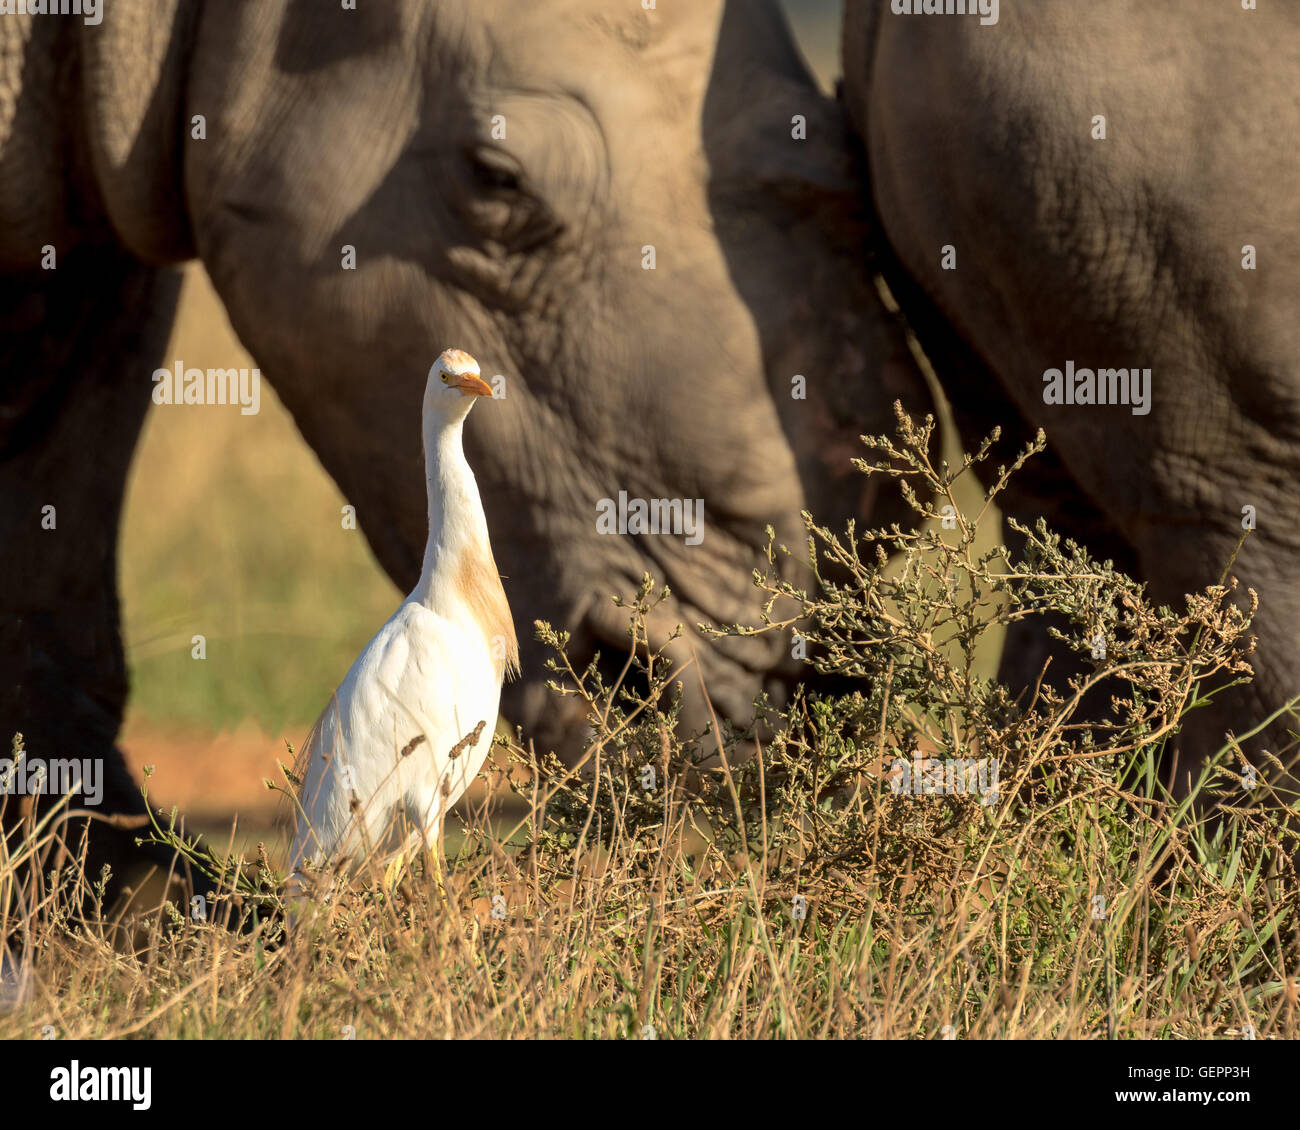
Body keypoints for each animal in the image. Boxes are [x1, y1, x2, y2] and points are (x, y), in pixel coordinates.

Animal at [0, 0, 930, 899]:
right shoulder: (424, 787)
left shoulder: (447, 784)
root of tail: (298, 858)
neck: (454, 593)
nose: (775, 680)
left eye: (474, 369)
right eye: (498, 178)